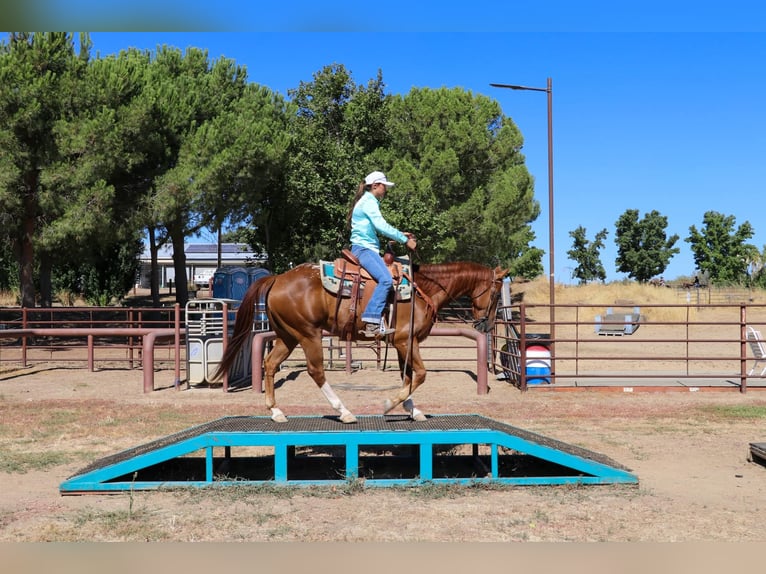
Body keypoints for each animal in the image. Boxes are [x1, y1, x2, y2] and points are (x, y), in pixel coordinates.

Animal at [213, 260, 510, 424]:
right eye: (497, 293)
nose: (486, 326)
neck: (422, 290)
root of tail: (276, 278)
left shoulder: (403, 344)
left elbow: (408, 376)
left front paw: (412, 409)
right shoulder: (406, 341)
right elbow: (421, 374)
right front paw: (390, 404)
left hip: (288, 336)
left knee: (270, 364)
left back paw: (276, 411)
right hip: (308, 335)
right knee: (316, 371)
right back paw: (343, 411)